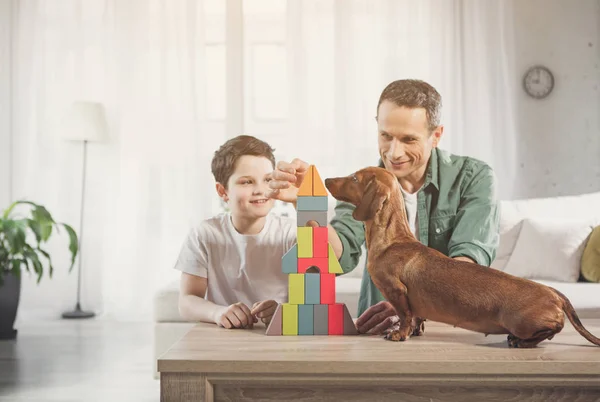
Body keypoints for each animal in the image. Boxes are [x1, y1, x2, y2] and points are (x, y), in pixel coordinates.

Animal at [326, 166, 600, 348]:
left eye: (354, 178)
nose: (327, 178)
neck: (393, 240)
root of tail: (554, 293)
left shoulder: (397, 291)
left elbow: (404, 316)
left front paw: (398, 334)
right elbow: (415, 318)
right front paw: (414, 331)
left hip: (519, 321)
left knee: (554, 327)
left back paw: (519, 341)